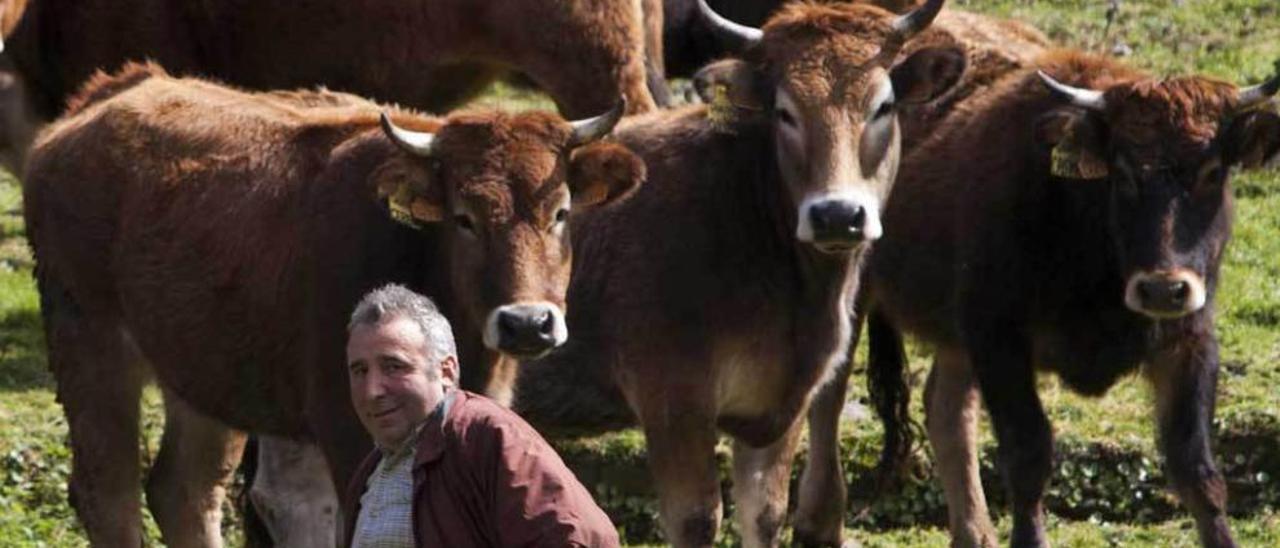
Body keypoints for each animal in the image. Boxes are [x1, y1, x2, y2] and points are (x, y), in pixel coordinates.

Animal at [27, 62, 650, 545]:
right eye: (464, 218)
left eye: (560, 211)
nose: (527, 324)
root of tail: (100, 100)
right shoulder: (346, 425)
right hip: (89, 342)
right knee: (108, 494)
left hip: (203, 372)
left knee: (183, 490)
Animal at [506, 2, 962, 545]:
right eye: (785, 112)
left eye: (883, 105)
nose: (836, 214)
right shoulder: (672, 399)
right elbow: (697, 519)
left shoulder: (778, 408)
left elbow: (766, 514)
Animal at [819, 49, 1280, 545]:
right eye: (1122, 173)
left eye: (1213, 172)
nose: (1162, 287)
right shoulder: (999, 341)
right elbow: (1029, 455)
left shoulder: (1188, 344)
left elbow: (1196, 470)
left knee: (946, 410)